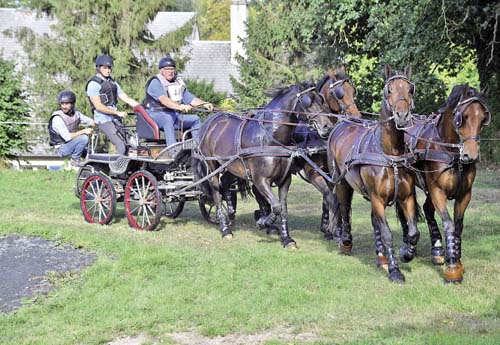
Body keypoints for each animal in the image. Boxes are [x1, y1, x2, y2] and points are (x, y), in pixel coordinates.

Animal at [193, 80, 334, 247]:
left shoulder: (285, 180)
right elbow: (276, 207)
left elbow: (283, 208)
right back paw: (225, 228)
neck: (270, 136)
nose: (327, 127)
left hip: (233, 167)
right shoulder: (260, 180)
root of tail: (209, 122)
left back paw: (231, 213)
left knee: (225, 183)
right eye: (307, 101)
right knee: (215, 192)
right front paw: (263, 222)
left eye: (321, 100)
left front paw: (287, 239)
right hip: (212, 166)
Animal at [326, 65, 420, 282]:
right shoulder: (377, 198)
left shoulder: (407, 197)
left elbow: (413, 232)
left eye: (410, 90)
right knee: (344, 208)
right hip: (342, 183)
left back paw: (380, 256)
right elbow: (386, 233)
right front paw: (395, 270)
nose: (402, 116)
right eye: (389, 90)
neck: (389, 154)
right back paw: (346, 242)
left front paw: (406, 253)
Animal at [394, 84, 492, 282]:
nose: (470, 155)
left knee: (427, 209)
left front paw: (456, 259)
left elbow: (458, 226)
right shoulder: (437, 190)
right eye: (463, 117)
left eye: (483, 118)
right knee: (404, 211)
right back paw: (408, 243)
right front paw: (453, 269)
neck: (450, 152)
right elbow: (449, 224)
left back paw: (437, 250)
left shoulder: (464, 194)